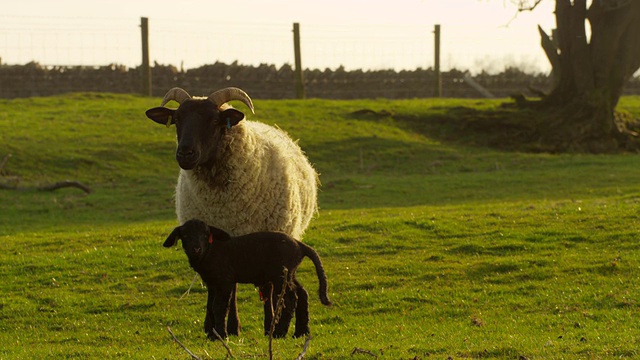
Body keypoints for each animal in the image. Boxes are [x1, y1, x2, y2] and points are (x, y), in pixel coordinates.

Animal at [162, 219, 332, 340]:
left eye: (205, 235)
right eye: (185, 236)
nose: (196, 249)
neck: (209, 252)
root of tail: (299, 244)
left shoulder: (225, 281)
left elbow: (219, 307)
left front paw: (221, 335)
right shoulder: (212, 283)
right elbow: (210, 307)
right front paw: (212, 334)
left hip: (280, 275)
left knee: (290, 299)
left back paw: (279, 333)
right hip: (289, 273)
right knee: (302, 293)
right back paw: (301, 332)